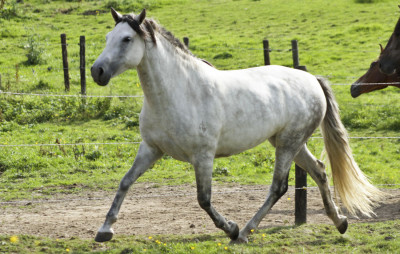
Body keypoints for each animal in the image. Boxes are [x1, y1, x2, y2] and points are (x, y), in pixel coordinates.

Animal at [90, 8, 384, 244]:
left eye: (127, 39)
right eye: (107, 37)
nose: (97, 71)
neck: (179, 92)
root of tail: (312, 79)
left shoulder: (203, 156)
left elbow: (204, 199)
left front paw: (230, 228)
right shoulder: (151, 149)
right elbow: (125, 182)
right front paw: (105, 230)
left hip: (288, 144)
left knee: (279, 187)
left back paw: (244, 233)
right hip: (289, 142)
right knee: (320, 171)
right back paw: (340, 222)